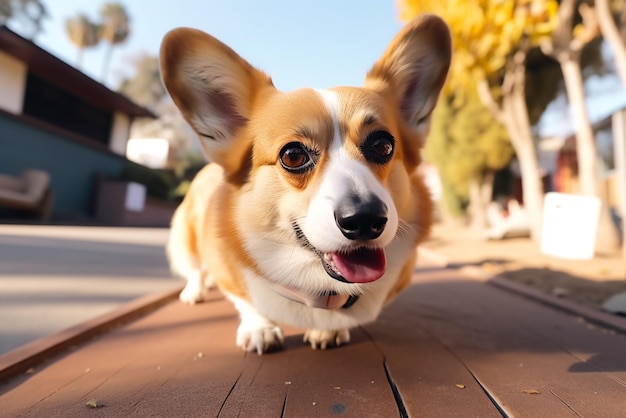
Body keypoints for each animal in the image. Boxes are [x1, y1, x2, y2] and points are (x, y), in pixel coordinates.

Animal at [161, 16, 448, 354]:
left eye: (383, 145)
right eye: (293, 155)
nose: (365, 220)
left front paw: (327, 331)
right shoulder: (226, 265)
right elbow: (246, 299)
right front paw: (260, 328)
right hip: (186, 238)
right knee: (194, 268)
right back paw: (195, 290)